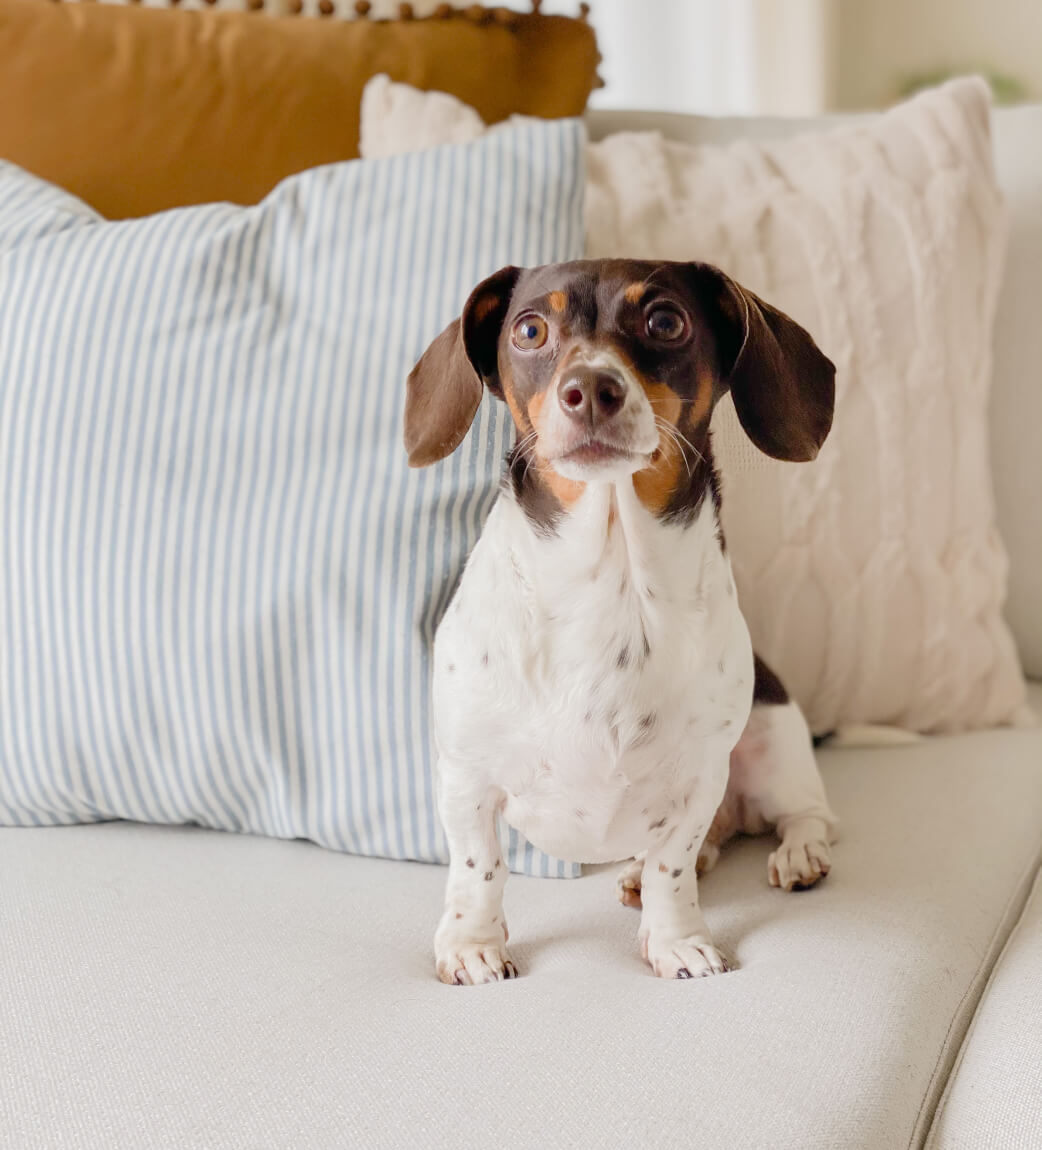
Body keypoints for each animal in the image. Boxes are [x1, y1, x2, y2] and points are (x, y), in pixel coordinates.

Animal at [404, 263, 837, 989]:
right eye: (529, 330)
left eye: (665, 321)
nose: (590, 391)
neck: (611, 586)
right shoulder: (466, 779)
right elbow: (478, 869)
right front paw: (470, 944)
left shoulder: (697, 781)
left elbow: (673, 867)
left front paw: (677, 941)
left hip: (774, 737)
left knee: (805, 815)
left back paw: (800, 853)